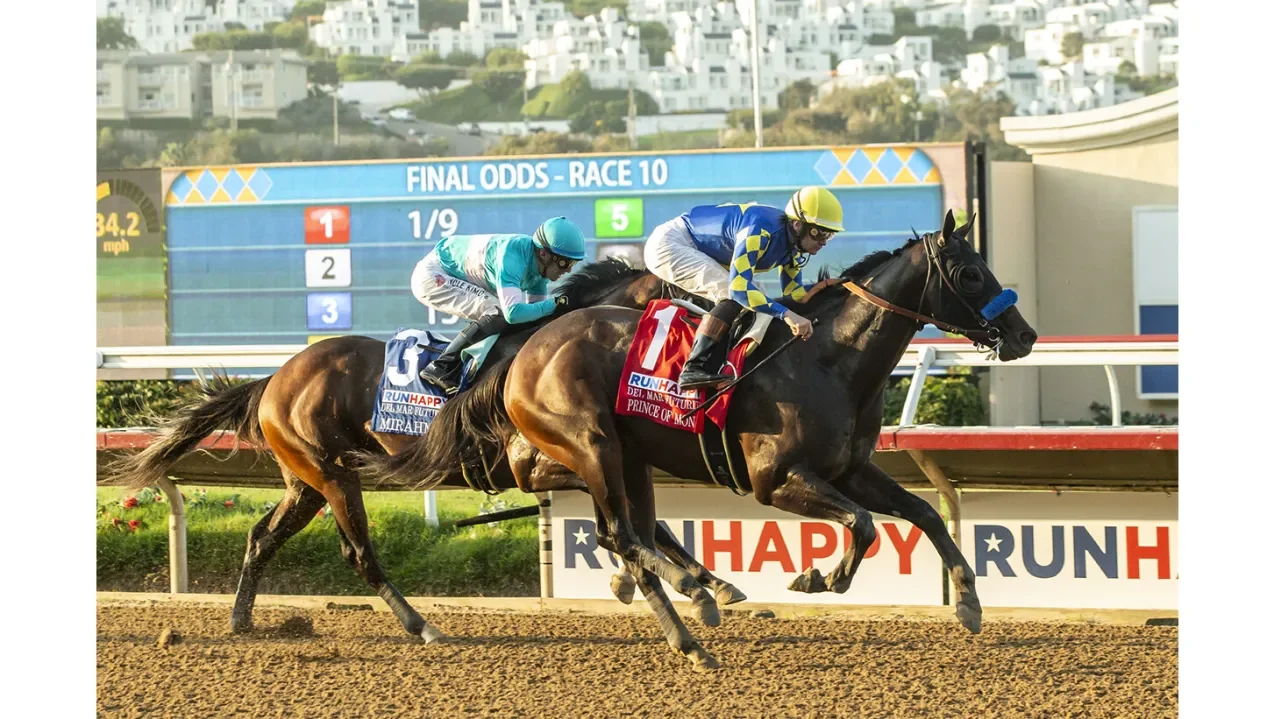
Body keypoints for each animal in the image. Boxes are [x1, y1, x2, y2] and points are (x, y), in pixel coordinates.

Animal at [101, 258, 744, 639]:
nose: (731, 332)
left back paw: (240, 619)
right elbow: (633, 523)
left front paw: (711, 585)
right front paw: (671, 583)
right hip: (335, 475)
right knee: (358, 553)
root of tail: (274, 379)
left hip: (304, 481)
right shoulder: (537, 466)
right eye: (685, 294)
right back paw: (420, 625)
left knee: (262, 536)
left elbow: (646, 524)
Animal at [364, 211, 1039, 668]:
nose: (1024, 335)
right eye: (970, 272)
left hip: (628, 458)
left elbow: (923, 512)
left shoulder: (849, 470)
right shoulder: (776, 479)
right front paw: (820, 579)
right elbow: (865, 525)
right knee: (623, 535)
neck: (829, 361)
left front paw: (968, 602)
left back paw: (690, 612)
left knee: (628, 532)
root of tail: (525, 351)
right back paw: (690, 615)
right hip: (591, 447)